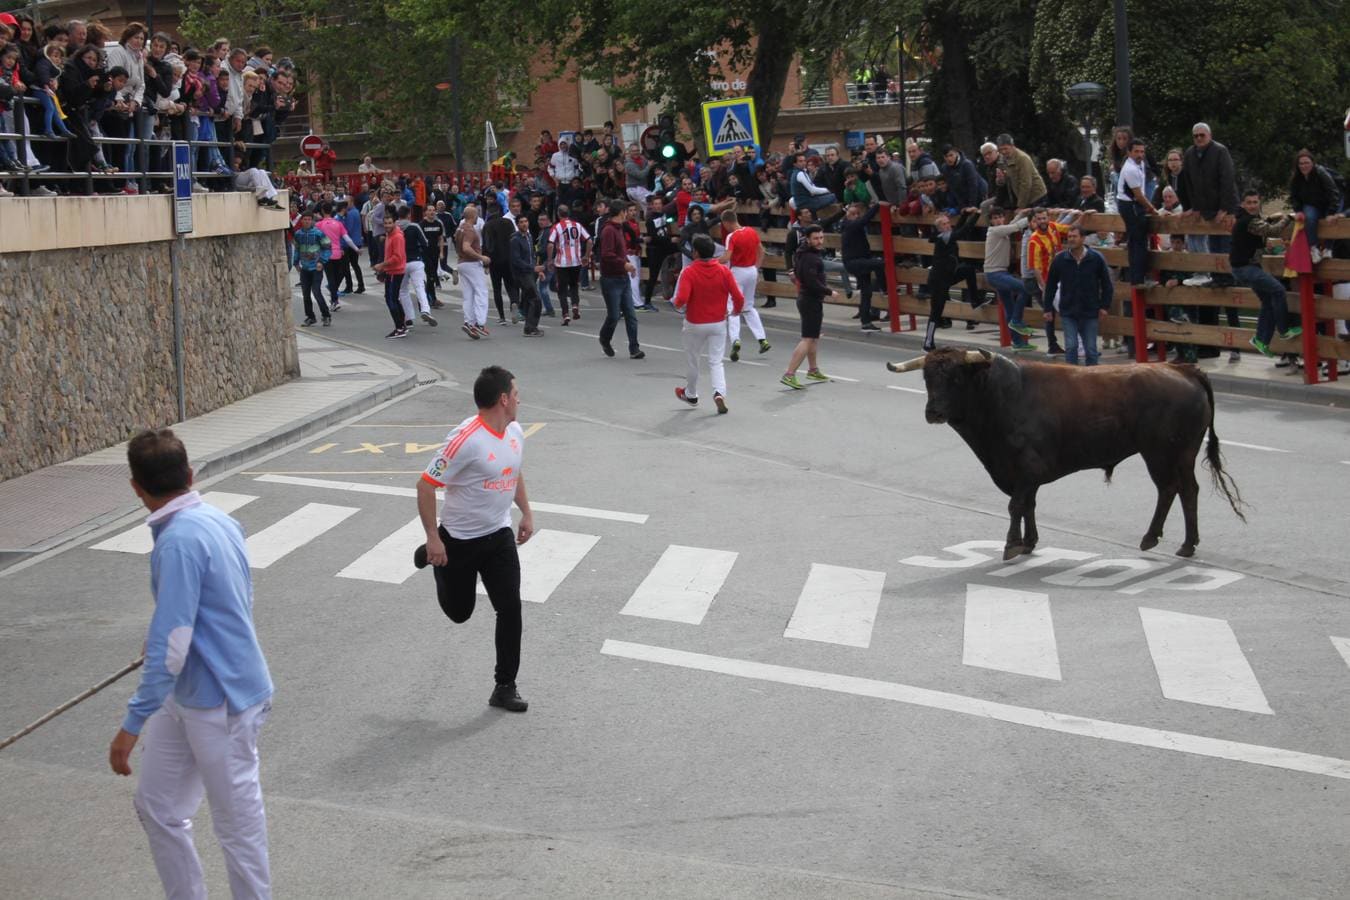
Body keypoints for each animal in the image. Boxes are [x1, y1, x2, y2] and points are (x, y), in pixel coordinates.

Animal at [885, 348, 1242, 558]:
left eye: (956, 377)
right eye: (927, 377)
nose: (933, 412)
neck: (1003, 395)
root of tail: (1181, 369)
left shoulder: (1026, 468)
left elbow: (1016, 505)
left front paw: (1011, 544)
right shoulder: (1022, 474)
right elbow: (1028, 504)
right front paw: (1028, 542)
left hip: (1163, 452)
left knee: (1173, 489)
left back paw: (1164, 540)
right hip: (1181, 453)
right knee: (1185, 490)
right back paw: (1180, 542)